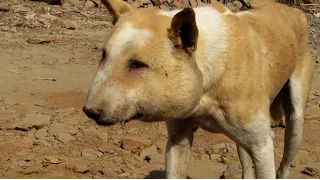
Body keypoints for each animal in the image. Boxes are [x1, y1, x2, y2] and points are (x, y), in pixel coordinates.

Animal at [82, 0, 312, 179]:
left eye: (138, 64)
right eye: (103, 55)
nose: (89, 111)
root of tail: (293, 10)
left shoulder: (262, 145)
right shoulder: (178, 141)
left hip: (295, 125)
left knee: (284, 165)